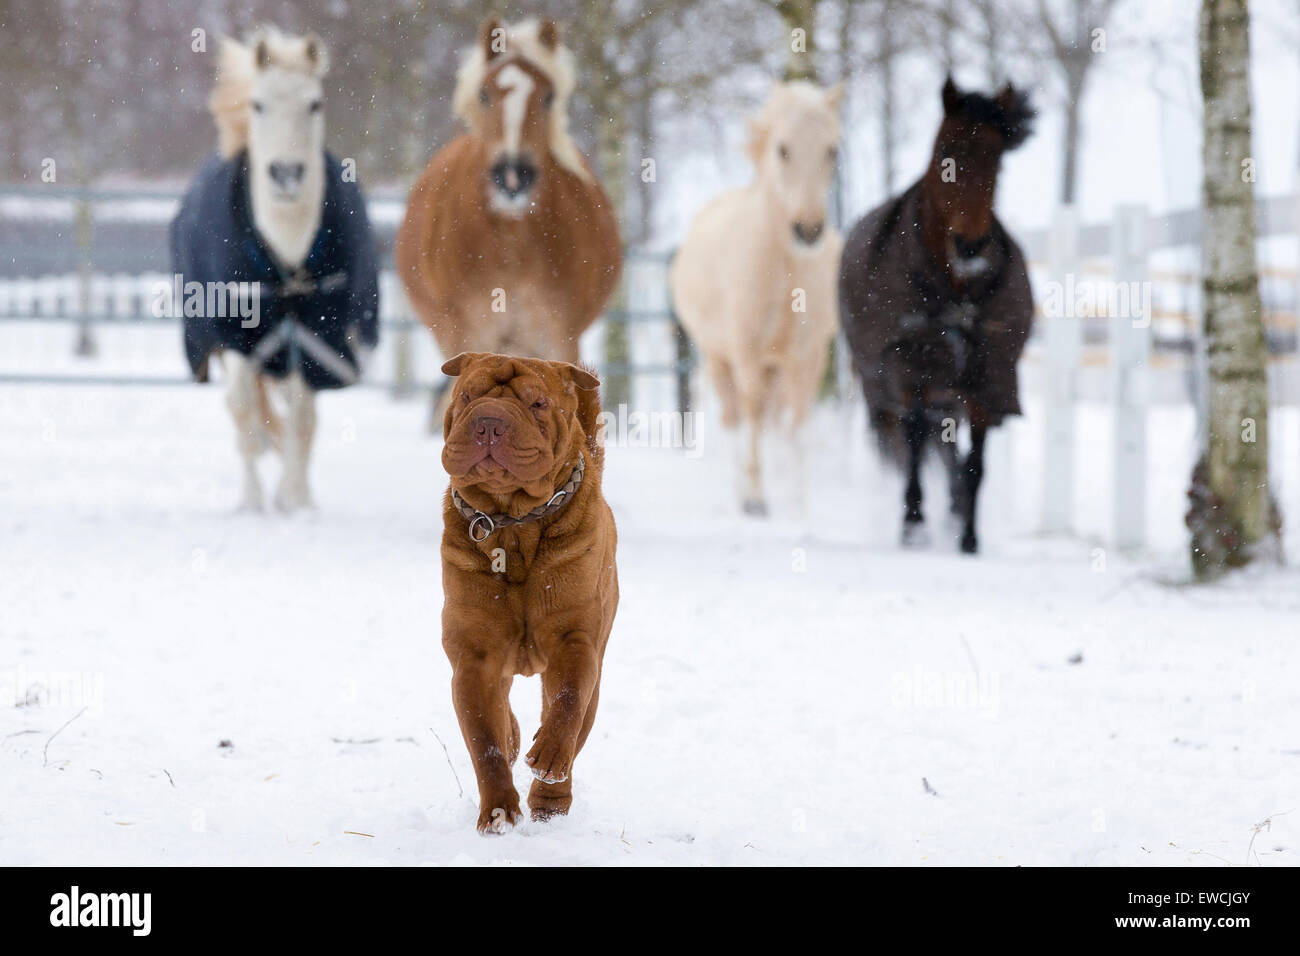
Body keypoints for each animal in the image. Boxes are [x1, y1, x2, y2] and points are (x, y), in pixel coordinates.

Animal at [170, 26, 379, 512]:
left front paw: (296, 500)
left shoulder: (317, 333)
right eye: (258, 104)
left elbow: (302, 417)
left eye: (315, 103)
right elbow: (245, 414)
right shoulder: (236, 335)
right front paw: (252, 503)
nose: (286, 174)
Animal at [392, 17, 621, 421]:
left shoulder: (560, 335)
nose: (513, 175)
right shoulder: (470, 333)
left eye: (548, 96)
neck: (512, 244)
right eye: (485, 94)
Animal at [439, 351, 616, 832]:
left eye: (537, 403)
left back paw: (549, 800)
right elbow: (485, 737)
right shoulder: (474, 656)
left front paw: (549, 753)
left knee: (575, 720)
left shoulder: (575, 639)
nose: (489, 421)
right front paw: (498, 812)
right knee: (505, 719)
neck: (514, 524)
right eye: (467, 395)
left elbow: (568, 700)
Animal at [670, 82, 842, 515]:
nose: (808, 230)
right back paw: (742, 489)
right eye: (782, 149)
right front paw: (754, 497)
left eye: (832, 150)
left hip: (779, 364)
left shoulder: (806, 355)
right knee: (737, 415)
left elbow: (797, 419)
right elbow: (753, 410)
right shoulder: (745, 349)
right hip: (719, 356)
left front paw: (799, 501)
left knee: (776, 416)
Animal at [842, 79, 1034, 556]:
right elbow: (912, 439)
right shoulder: (910, 367)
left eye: (997, 156)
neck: (954, 292)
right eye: (946, 149)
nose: (970, 245)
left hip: (950, 392)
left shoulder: (987, 377)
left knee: (948, 449)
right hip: (888, 384)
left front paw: (969, 535)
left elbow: (976, 462)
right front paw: (913, 524)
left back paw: (955, 507)